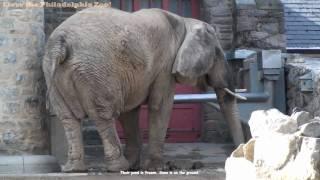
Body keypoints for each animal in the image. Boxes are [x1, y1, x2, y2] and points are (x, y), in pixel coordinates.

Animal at [42, 7, 246, 172]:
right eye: (217, 54)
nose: (236, 156)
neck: (185, 22)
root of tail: (60, 43)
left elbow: (129, 113)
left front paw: (136, 165)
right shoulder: (165, 65)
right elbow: (160, 105)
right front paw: (155, 168)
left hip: (56, 72)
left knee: (68, 118)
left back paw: (73, 169)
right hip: (93, 70)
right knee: (103, 115)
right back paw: (118, 167)